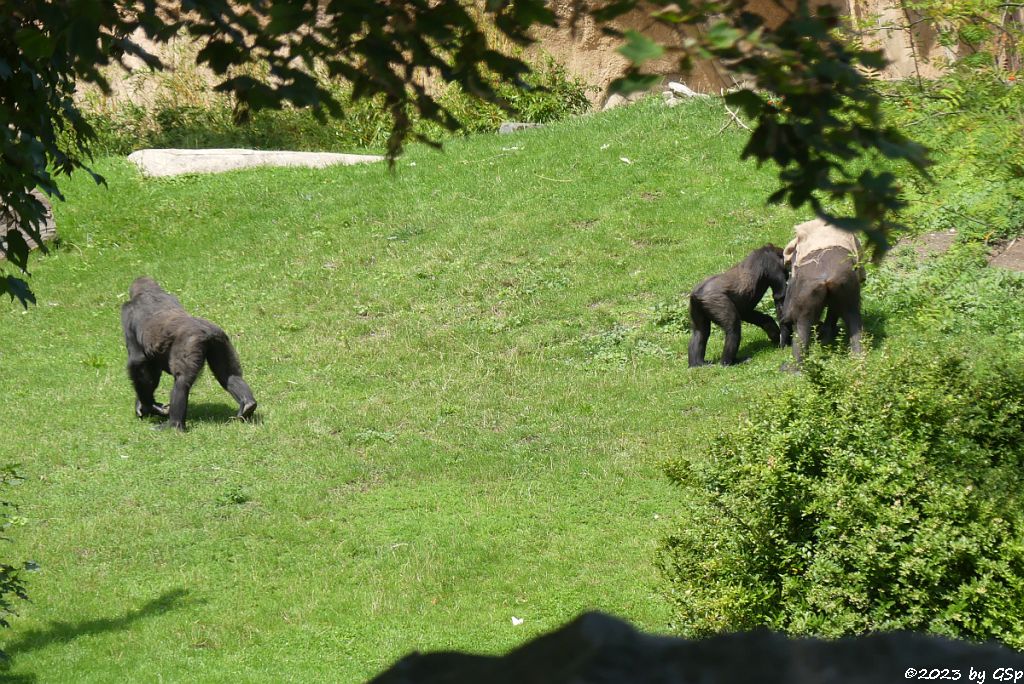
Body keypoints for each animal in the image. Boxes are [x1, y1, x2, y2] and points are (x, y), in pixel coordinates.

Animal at [120, 274, 256, 430]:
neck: (149, 292)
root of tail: (206, 331)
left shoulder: (127, 312)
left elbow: (138, 361)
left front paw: (148, 405)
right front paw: (145, 405)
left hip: (190, 344)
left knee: (182, 381)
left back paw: (173, 424)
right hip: (220, 341)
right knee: (229, 375)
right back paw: (248, 405)